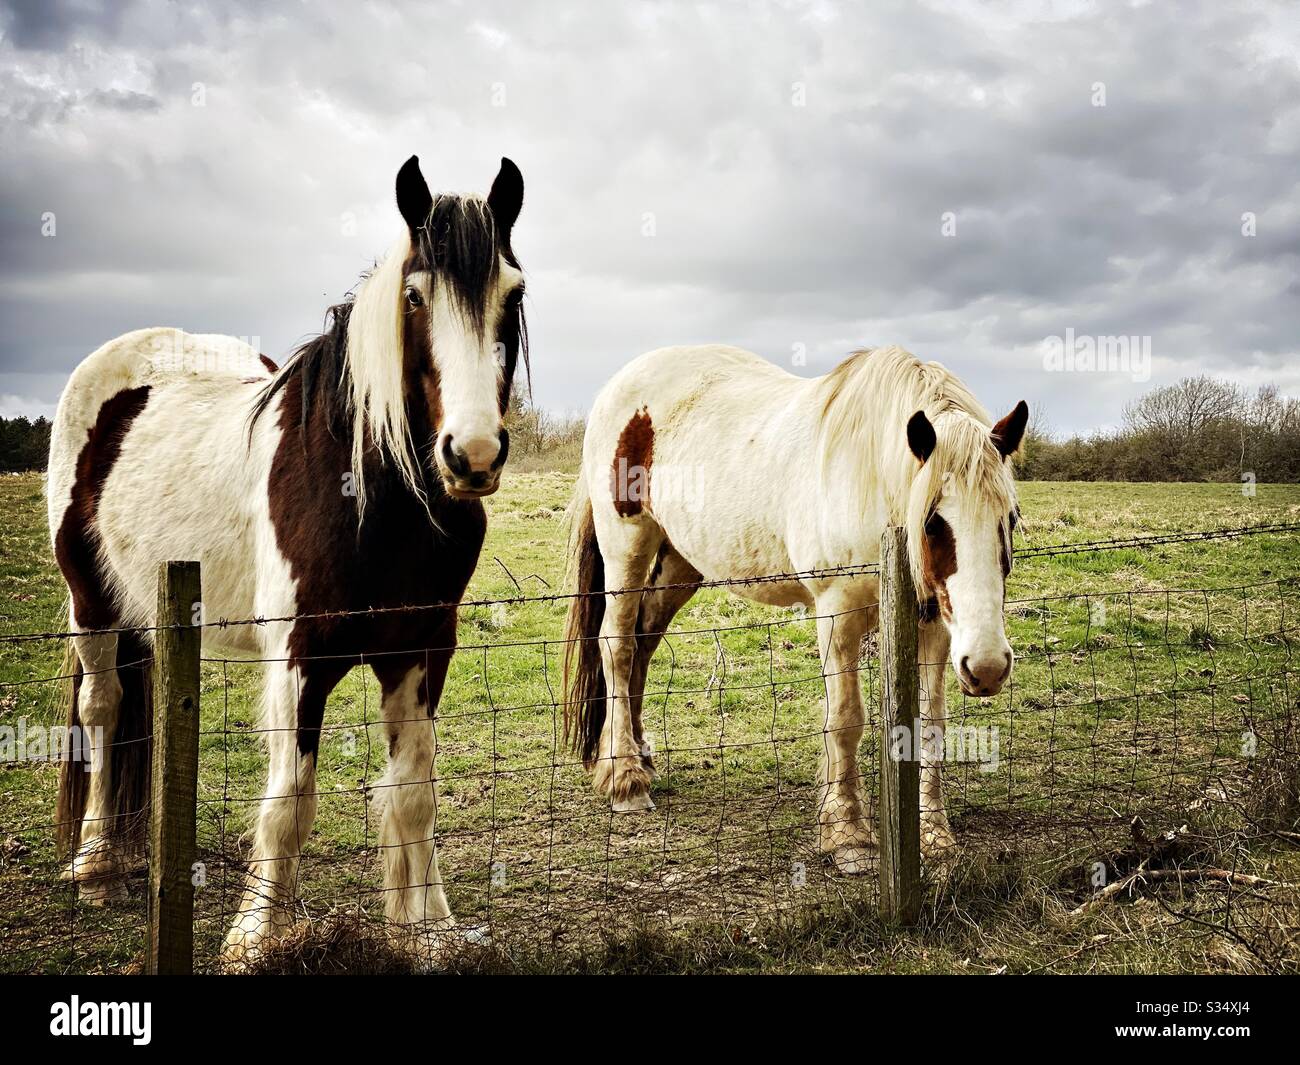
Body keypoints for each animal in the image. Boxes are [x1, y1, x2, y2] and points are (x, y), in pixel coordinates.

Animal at [47, 154, 528, 965]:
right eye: (414, 296)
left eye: (513, 294)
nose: (473, 455)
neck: (376, 494)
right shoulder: (301, 656)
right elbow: (289, 801)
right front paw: (256, 935)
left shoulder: (422, 648)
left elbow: (414, 792)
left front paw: (429, 929)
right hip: (93, 601)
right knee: (104, 709)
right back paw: (96, 862)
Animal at [563, 344, 1026, 871]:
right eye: (932, 521)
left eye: (1009, 517)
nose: (987, 667)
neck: (868, 477)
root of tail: (621, 384)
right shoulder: (837, 613)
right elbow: (845, 719)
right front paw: (848, 834)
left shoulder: (936, 626)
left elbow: (929, 725)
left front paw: (934, 834)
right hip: (627, 546)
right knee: (618, 646)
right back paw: (625, 779)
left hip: (679, 562)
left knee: (642, 643)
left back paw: (640, 755)